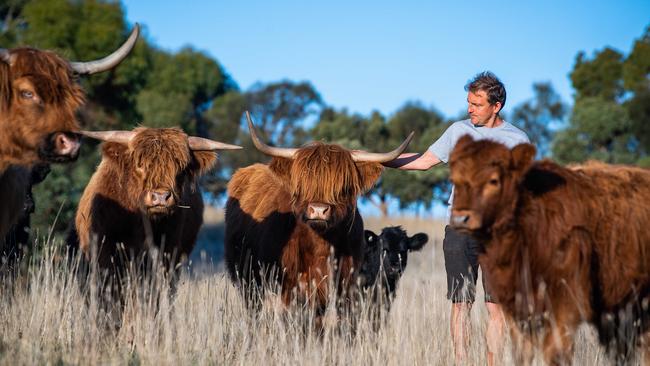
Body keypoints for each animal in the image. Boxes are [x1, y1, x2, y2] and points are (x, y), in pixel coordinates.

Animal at [225, 111, 412, 318]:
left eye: (343, 187)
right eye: (302, 184)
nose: (318, 210)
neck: (322, 245)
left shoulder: (347, 284)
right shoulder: (293, 284)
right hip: (248, 280)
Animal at [446, 135, 648, 366]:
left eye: (494, 180)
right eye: (454, 179)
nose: (460, 218)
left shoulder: (565, 307)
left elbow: (556, 353)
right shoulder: (519, 310)